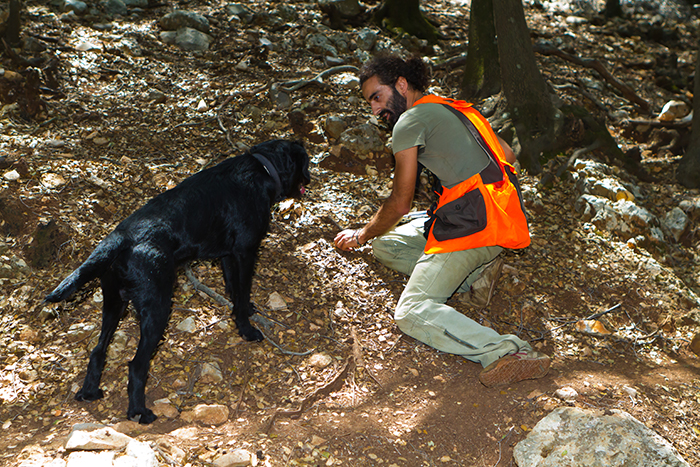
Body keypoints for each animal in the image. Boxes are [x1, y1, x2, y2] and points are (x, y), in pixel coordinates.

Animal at [43, 139, 306, 424]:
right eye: (306, 162)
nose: (310, 178)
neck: (262, 167)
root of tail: (120, 237)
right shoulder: (246, 251)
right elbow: (243, 289)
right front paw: (247, 329)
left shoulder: (228, 255)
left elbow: (235, 290)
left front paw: (244, 311)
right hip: (157, 307)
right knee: (137, 365)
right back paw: (139, 412)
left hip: (114, 305)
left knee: (97, 351)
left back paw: (90, 392)